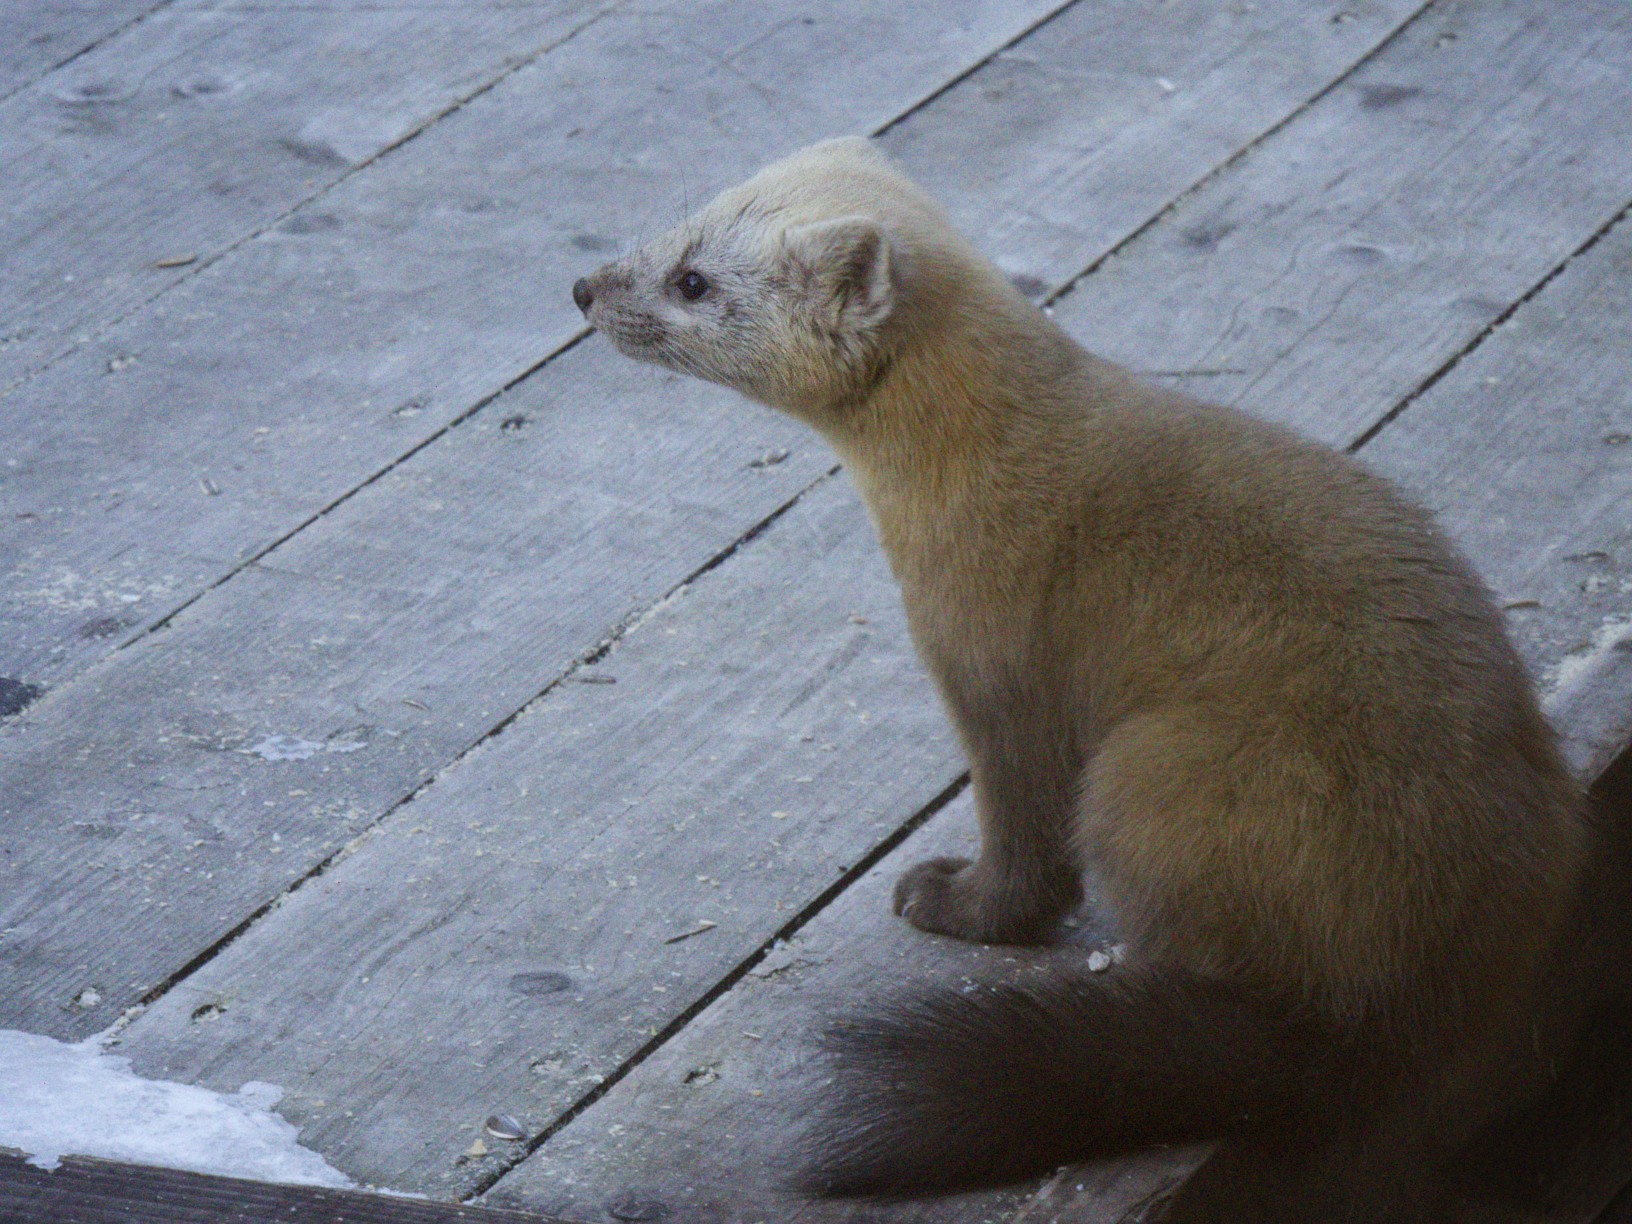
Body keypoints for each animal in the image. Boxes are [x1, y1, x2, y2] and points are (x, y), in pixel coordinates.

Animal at [572, 137, 1593, 1222]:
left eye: (693, 280)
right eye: (682, 221)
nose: (585, 287)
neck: (968, 466)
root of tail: (1416, 990)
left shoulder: (990, 662)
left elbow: (1025, 841)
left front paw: (945, 898)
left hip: (1152, 771)